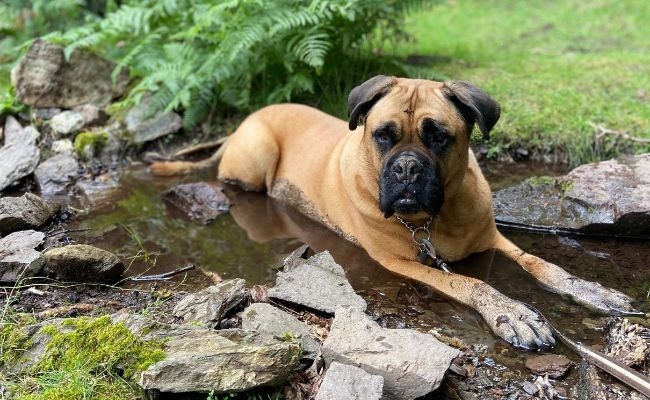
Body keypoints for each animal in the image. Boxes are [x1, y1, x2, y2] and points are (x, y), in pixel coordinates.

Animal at [149, 76, 636, 348]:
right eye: (383, 135)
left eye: (439, 136)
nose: (406, 167)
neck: (437, 219)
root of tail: (242, 124)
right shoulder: (401, 261)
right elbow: (468, 282)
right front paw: (511, 312)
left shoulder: (493, 238)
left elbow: (540, 263)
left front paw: (590, 290)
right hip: (257, 156)